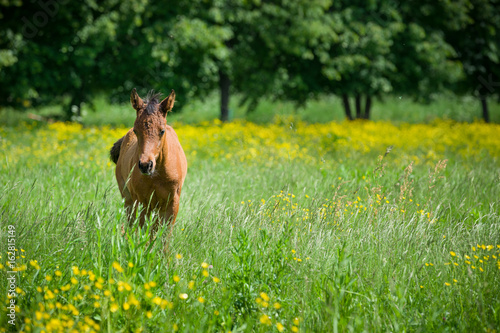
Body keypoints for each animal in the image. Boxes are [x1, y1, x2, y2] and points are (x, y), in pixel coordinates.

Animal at [110, 88, 188, 239]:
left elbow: (163, 236)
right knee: (131, 223)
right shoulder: (142, 202)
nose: (146, 165)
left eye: (162, 131)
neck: (157, 175)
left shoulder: (172, 204)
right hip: (128, 199)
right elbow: (143, 232)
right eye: (136, 130)